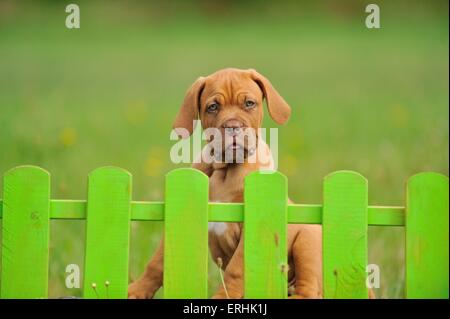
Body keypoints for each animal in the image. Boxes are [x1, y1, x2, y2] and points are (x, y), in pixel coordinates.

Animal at [127, 68, 324, 300]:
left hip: (307, 239)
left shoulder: (250, 231)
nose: (233, 127)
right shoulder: (181, 219)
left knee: (309, 289)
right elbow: (158, 262)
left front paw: (223, 297)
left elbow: (235, 270)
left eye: (249, 103)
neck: (225, 170)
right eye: (213, 107)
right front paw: (137, 290)